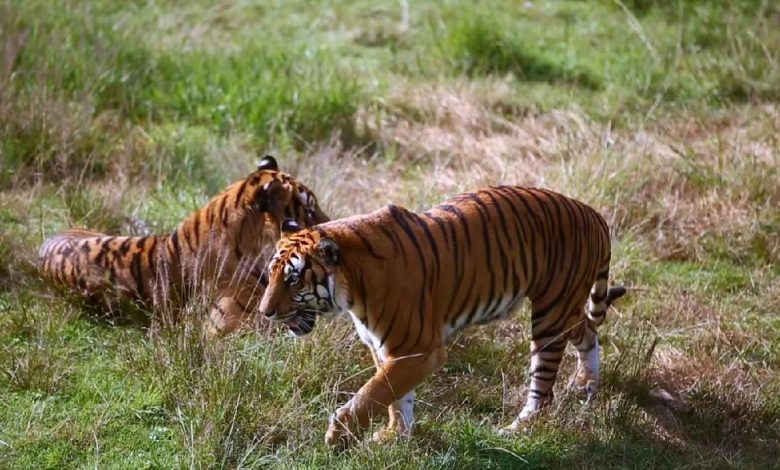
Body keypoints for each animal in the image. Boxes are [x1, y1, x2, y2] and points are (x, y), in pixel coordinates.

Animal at [258, 185, 624, 446]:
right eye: (272, 274)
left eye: (293, 280)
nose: (265, 312)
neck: (351, 288)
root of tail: (591, 212)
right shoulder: (387, 348)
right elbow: (394, 396)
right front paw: (396, 435)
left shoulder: (419, 348)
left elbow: (373, 392)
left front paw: (339, 435)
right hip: (564, 308)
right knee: (588, 330)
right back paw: (586, 384)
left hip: (550, 314)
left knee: (544, 387)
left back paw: (516, 428)